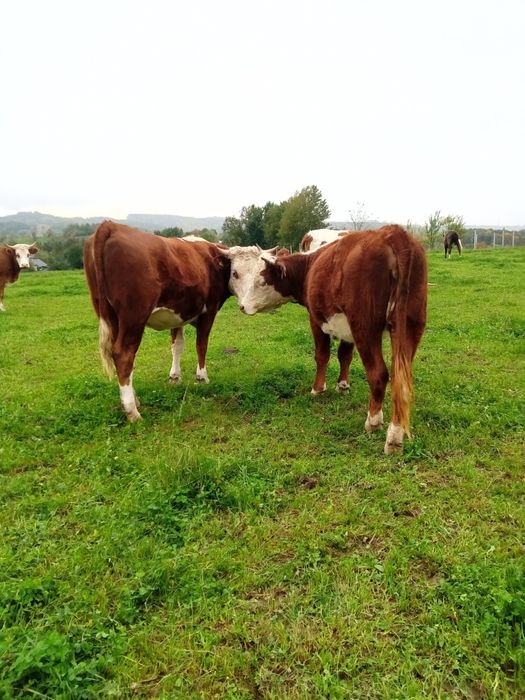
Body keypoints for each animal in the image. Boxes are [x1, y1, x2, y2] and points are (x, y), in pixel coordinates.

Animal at [84, 220, 229, 422]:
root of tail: (112, 226)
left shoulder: (178, 316)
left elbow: (177, 346)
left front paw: (175, 377)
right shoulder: (209, 311)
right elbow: (201, 344)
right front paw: (202, 378)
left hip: (110, 316)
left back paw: (133, 401)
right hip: (134, 316)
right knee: (124, 354)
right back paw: (133, 412)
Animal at [227, 224, 428, 454]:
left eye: (261, 281)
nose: (242, 306)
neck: (310, 265)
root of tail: (393, 234)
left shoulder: (317, 319)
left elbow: (322, 355)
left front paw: (318, 388)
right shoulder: (347, 328)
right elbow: (344, 356)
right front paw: (342, 385)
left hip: (365, 327)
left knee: (379, 374)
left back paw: (375, 423)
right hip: (411, 326)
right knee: (400, 379)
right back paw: (396, 433)